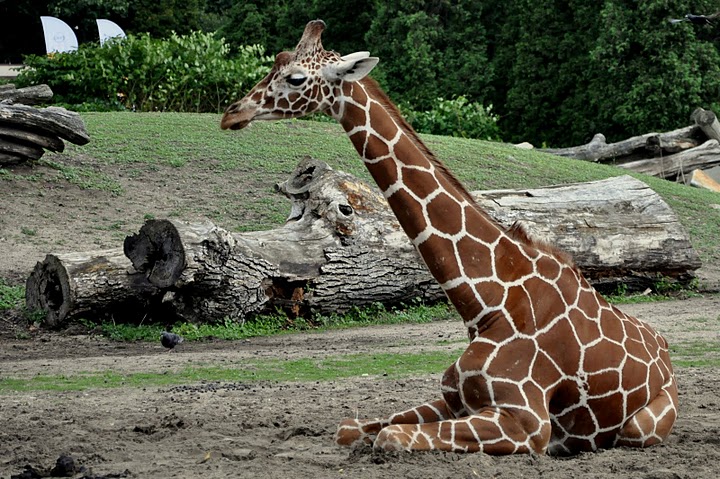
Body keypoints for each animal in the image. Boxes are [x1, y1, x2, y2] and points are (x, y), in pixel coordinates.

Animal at [221, 20, 678, 455]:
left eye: (296, 77)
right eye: (277, 60)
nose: (231, 113)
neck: (485, 304)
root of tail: (666, 352)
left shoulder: (528, 423)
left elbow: (389, 438)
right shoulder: (453, 398)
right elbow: (352, 428)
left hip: (641, 426)